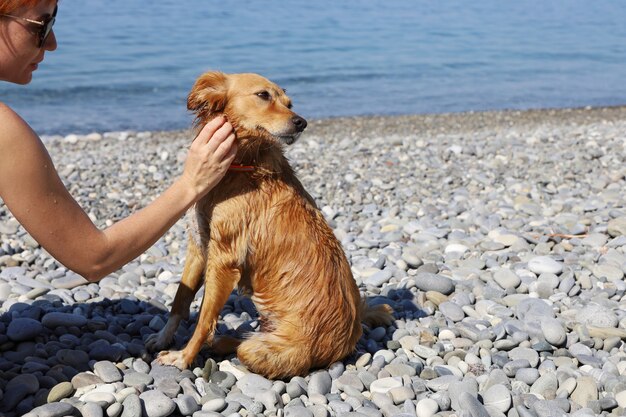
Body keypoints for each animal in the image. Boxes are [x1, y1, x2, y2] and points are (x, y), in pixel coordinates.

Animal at [146, 71, 390, 376]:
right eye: (264, 95)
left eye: (289, 103)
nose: (301, 122)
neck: (241, 164)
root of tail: (349, 338)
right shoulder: (198, 246)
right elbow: (180, 301)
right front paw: (163, 337)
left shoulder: (224, 259)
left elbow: (203, 319)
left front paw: (184, 357)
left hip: (267, 350)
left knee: (244, 346)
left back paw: (223, 342)